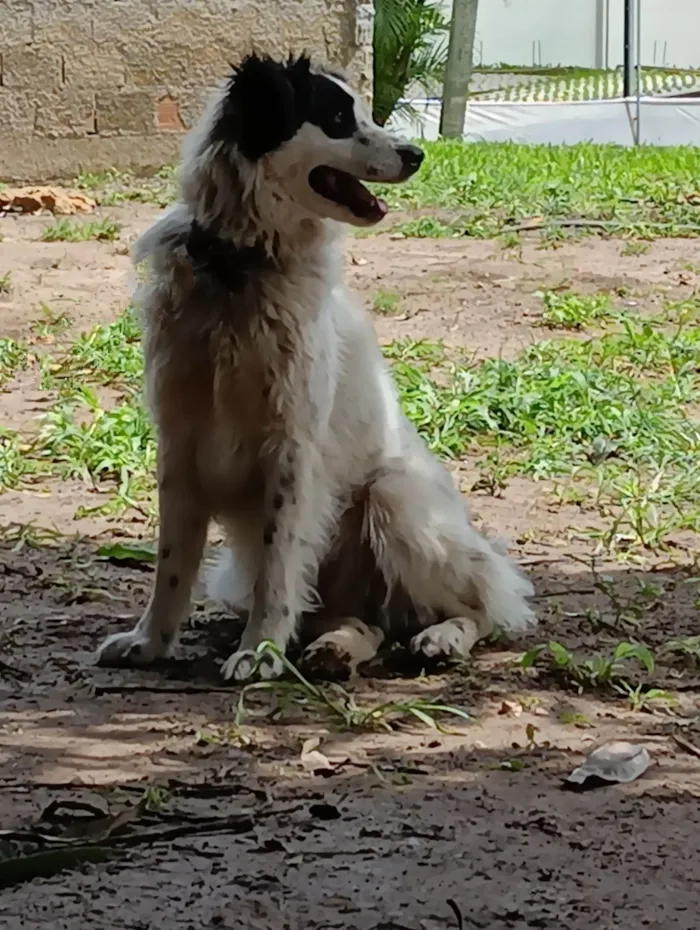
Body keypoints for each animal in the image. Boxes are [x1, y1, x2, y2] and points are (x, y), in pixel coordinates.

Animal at [95, 56, 536, 680]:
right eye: (337, 118)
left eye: (365, 113)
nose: (416, 154)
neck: (242, 269)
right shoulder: (179, 442)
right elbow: (172, 564)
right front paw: (150, 643)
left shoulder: (292, 450)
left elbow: (279, 567)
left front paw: (259, 650)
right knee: (364, 622)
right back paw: (336, 647)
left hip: (396, 497)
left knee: (484, 607)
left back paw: (442, 637)